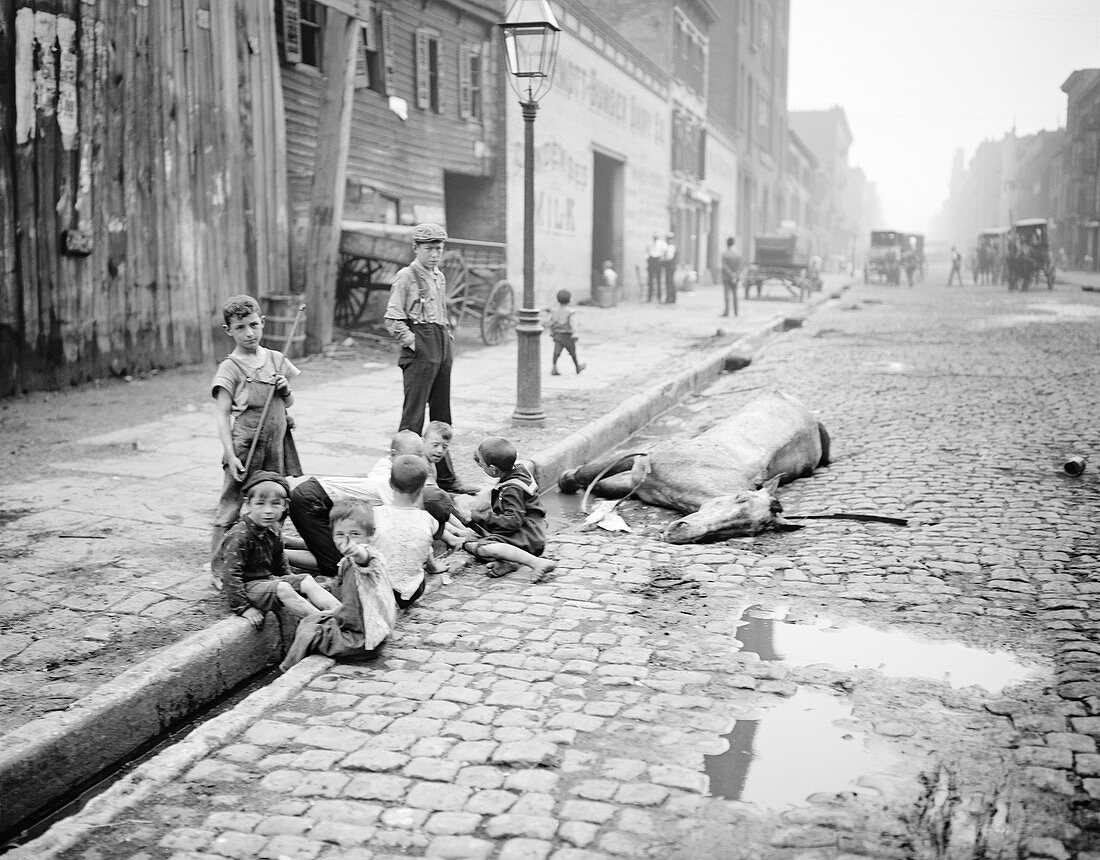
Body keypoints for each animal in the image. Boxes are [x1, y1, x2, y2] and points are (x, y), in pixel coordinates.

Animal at [558, 391, 831, 545]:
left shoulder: (639, 481)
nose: (677, 533)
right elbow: (591, 474)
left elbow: (603, 484)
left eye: (747, 530)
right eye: (740, 498)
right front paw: (565, 480)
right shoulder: (642, 456)